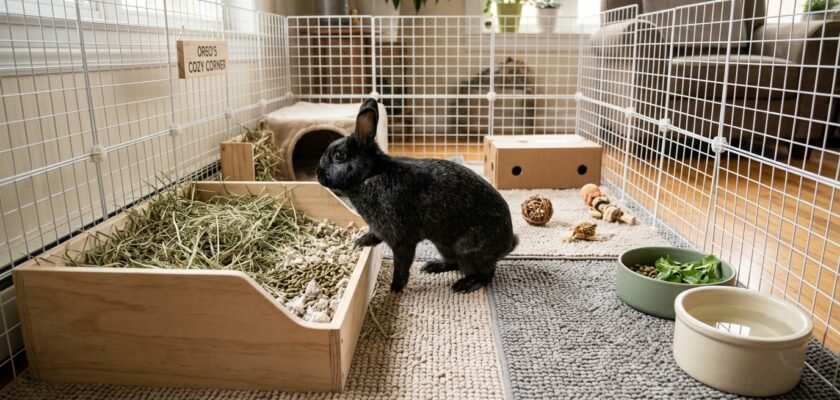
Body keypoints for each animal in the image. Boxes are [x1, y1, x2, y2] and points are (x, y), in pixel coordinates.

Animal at [316, 98, 518, 293]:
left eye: (339, 156)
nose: (317, 174)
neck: (370, 175)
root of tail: (508, 244)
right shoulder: (381, 228)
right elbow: (375, 236)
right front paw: (361, 242)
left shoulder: (401, 239)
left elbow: (401, 265)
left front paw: (394, 289)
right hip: (444, 245)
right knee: (454, 262)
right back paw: (432, 266)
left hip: (468, 250)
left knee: (485, 274)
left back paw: (464, 285)